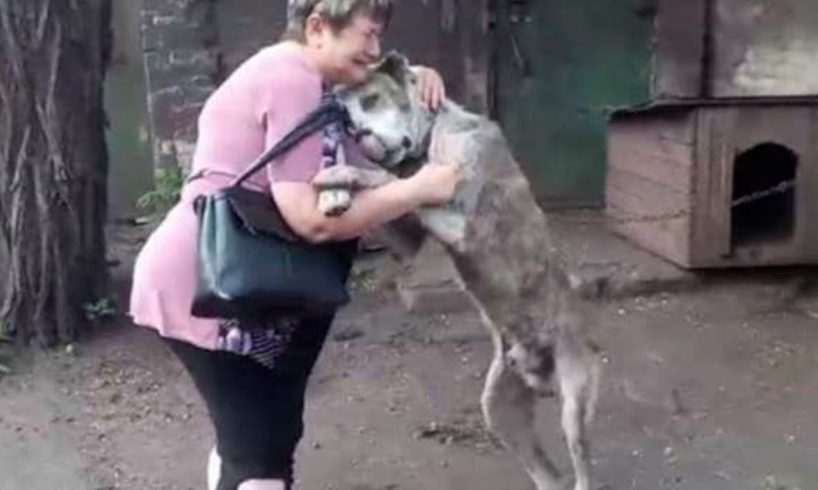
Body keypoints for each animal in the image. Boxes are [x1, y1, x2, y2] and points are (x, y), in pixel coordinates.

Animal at [312, 53, 600, 490]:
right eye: (345, 118)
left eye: (372, 99)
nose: (359, 135)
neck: (433, 134)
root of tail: (540, 369)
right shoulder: (405, 236)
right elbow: (391, 191)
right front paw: (334, 191)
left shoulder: (460, 220)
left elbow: (391, 180)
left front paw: (340, 176)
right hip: (499, 410)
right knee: (548, 475)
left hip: (575, 406)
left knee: (582, 466)